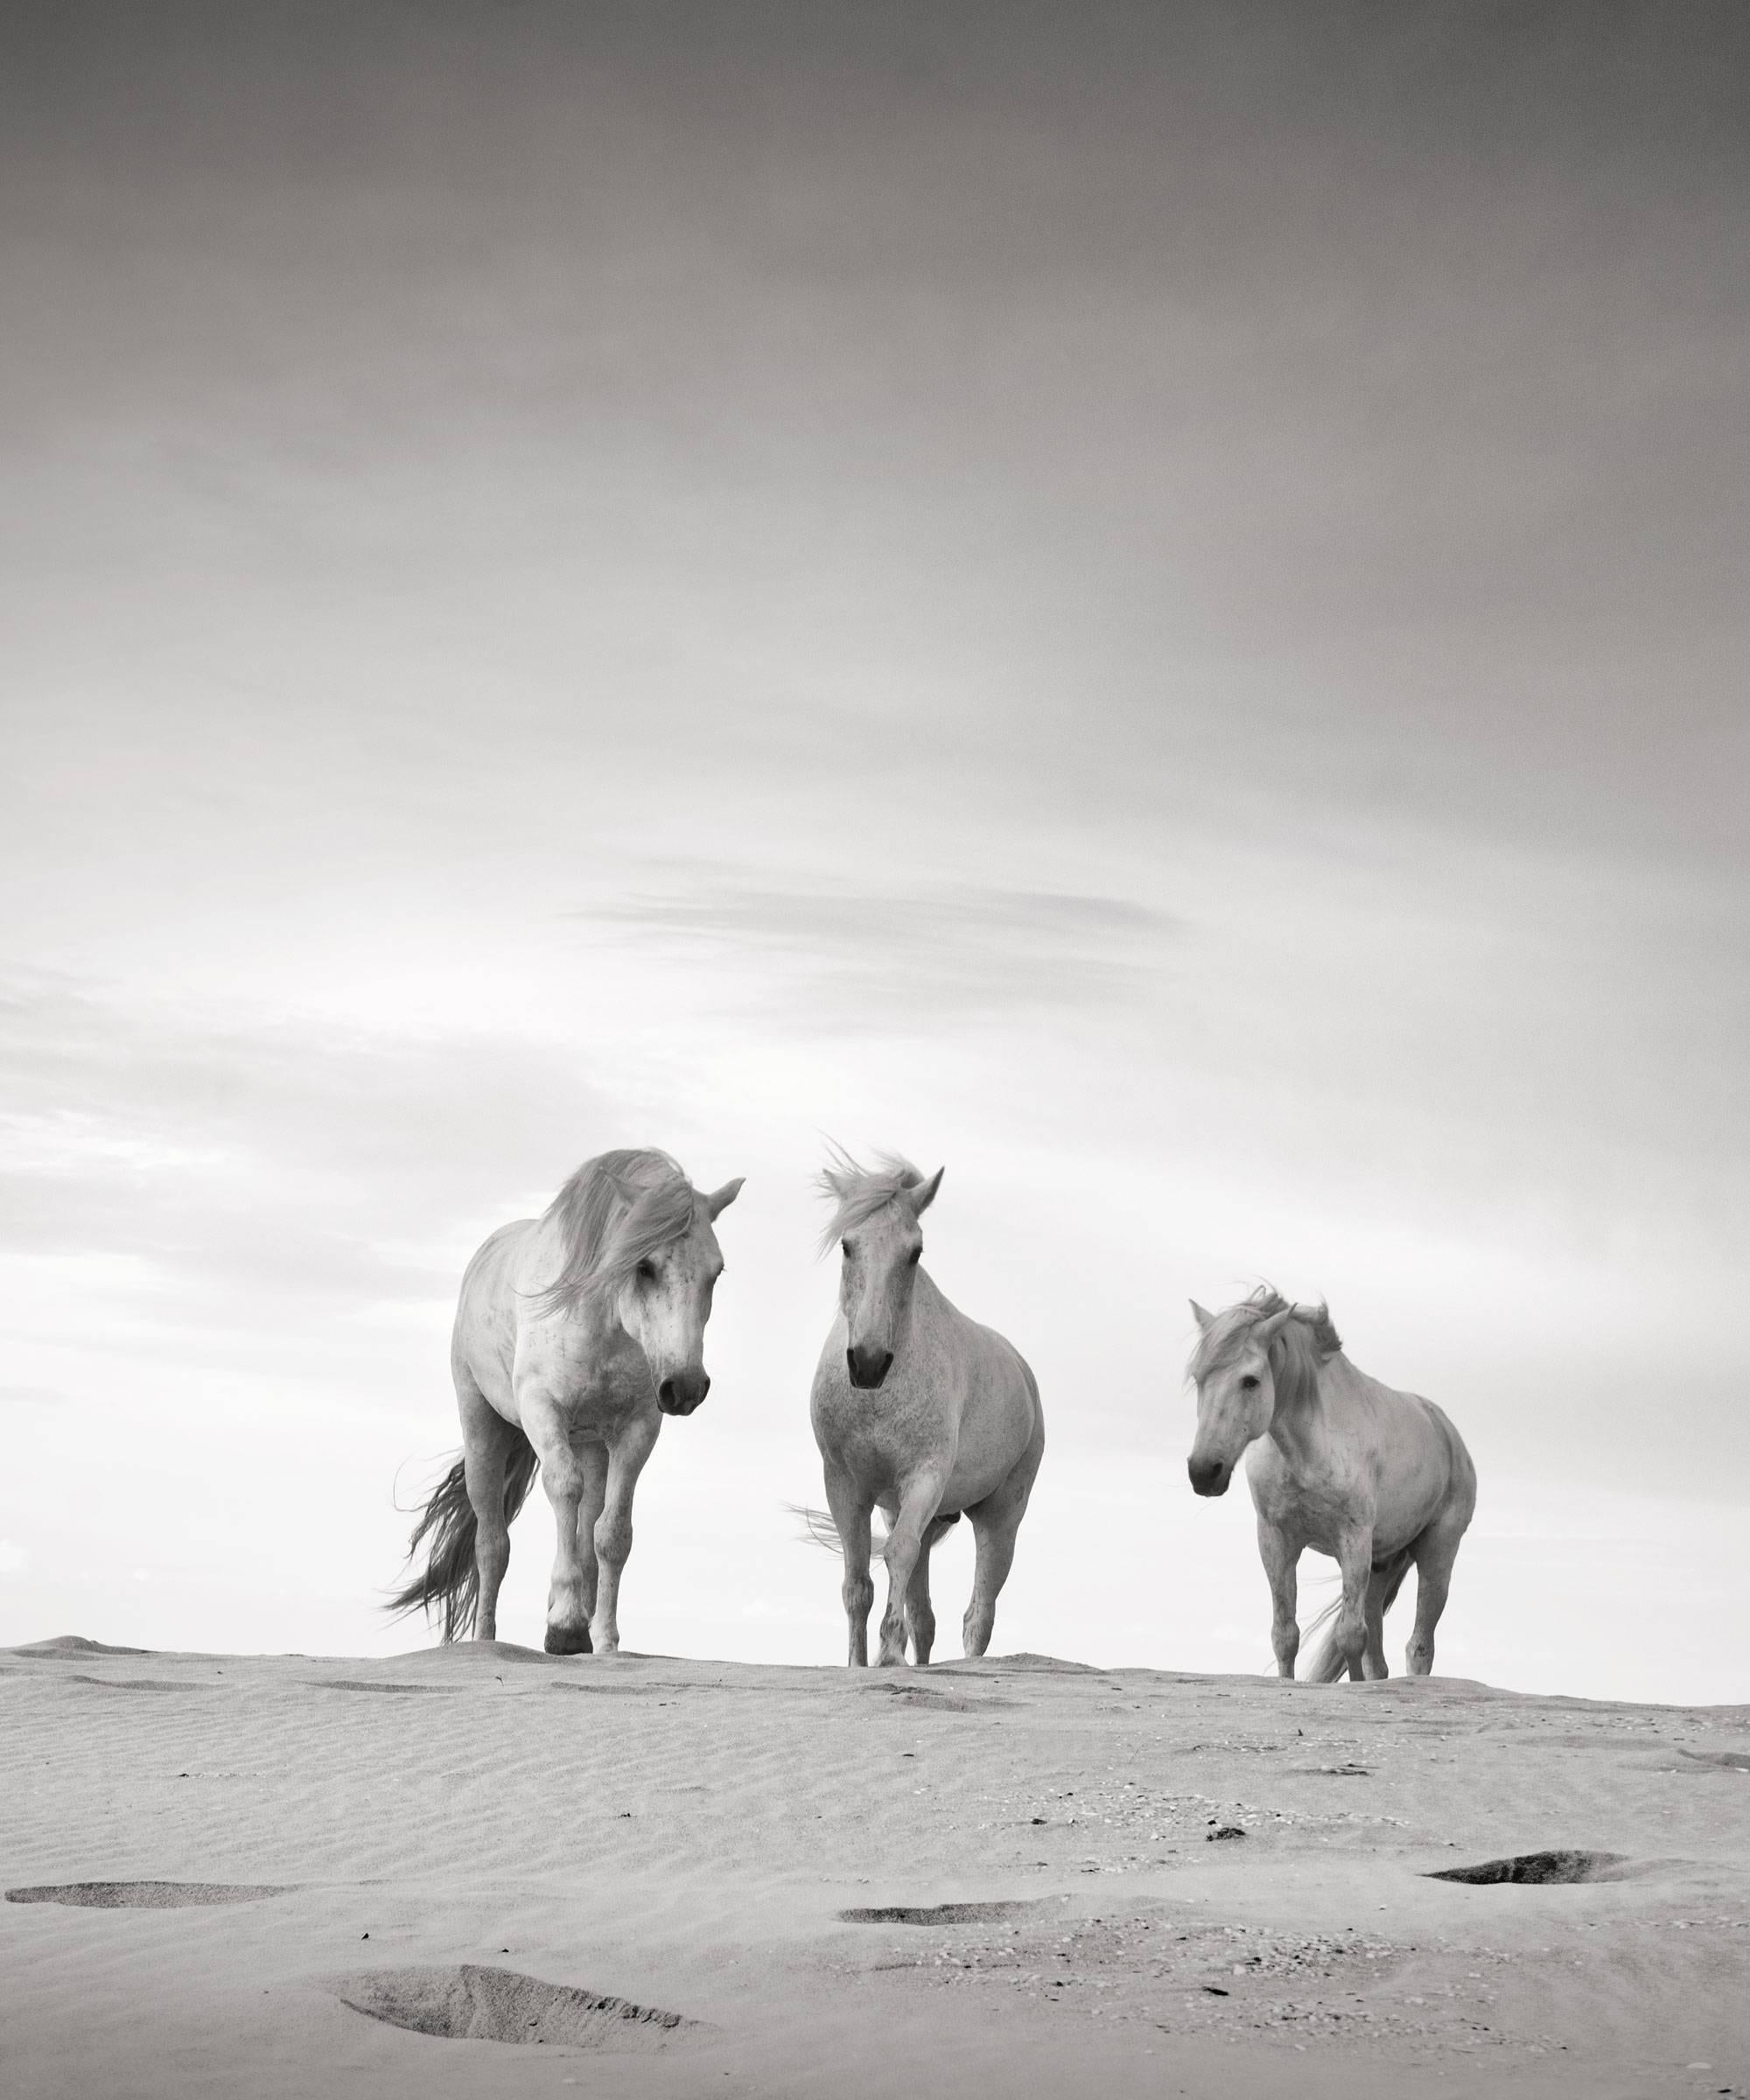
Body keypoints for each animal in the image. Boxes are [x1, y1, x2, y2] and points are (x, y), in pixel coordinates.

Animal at [386, 1151, 739, 1655]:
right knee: (492, 1544)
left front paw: (604, 1640)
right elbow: (563, 1489)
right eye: (645, 1266)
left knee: (586, 1527)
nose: (686, 1386)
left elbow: (611, 1532)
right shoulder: (542, 1411)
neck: (602, 1323)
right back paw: (486, 1639)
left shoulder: (637, 1431)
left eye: (717, 1272)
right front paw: (566, 1626)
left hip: (591, 1443)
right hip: (482, 1432)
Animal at [1185, 1284, 1479, 1680]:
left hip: (1437, 1555)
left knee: (1419, 1647)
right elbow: (1285, 1635)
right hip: (1379, 1566)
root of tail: (1447, 1431)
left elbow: (1350, 1635)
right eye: (1198, 1378)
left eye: (1250, 1381)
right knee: (1378, 1661)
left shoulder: (1353, 1540)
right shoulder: (1276, 1541)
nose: (1203, 1471)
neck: (1306, 1449)